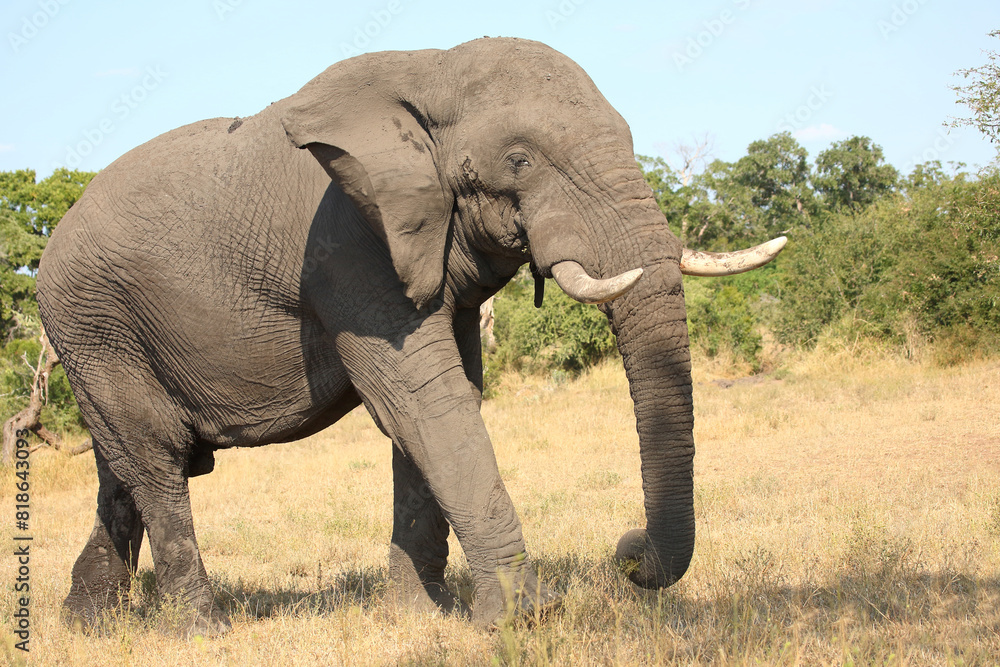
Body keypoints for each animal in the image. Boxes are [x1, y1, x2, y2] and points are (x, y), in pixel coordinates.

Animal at [36, 37, 785, 635]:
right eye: (520, 160)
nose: (627, 555)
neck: (432, 70)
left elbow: (443, 403)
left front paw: (424, 615)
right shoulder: (345, 247)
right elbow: (426, 402)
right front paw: (518, 620)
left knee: (122, 467)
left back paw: (87, 625)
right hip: (91, 323)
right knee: (157, 458)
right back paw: (201, 631)